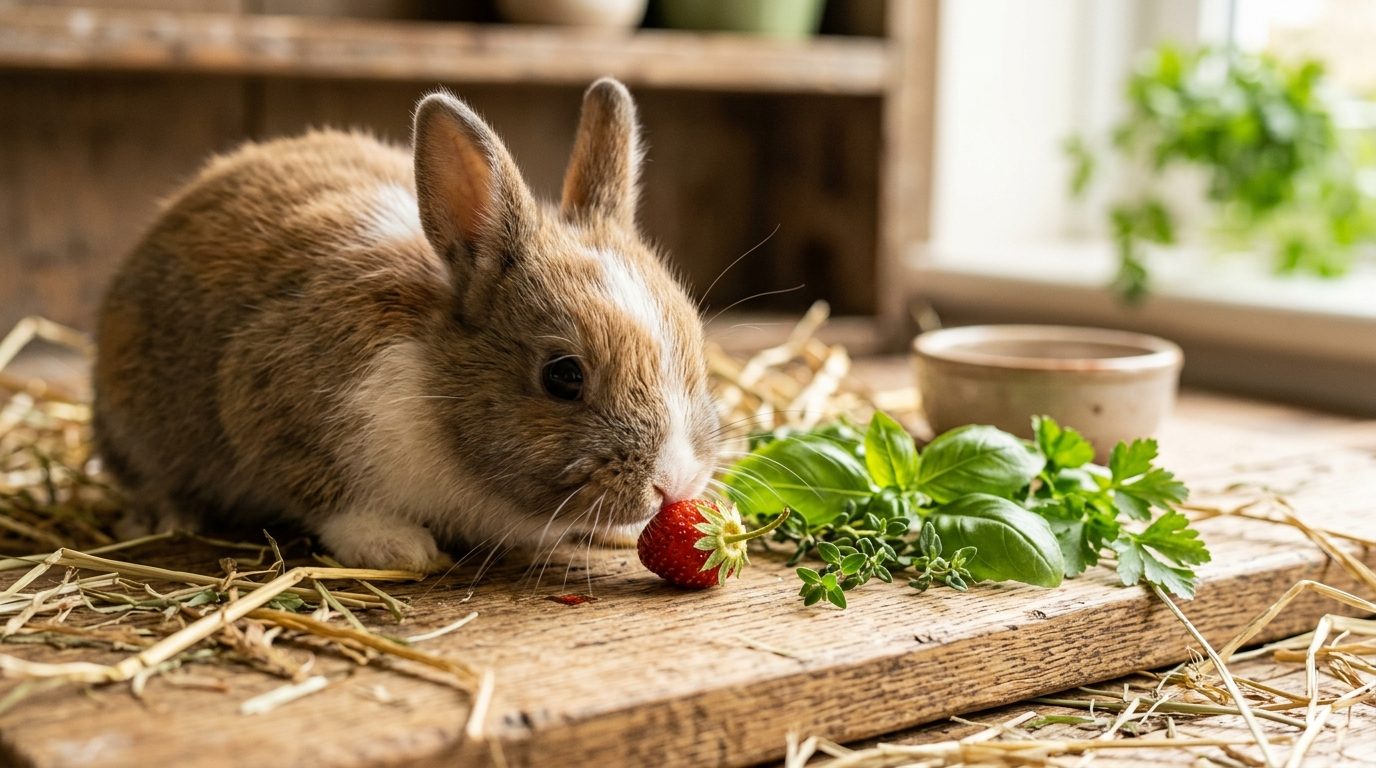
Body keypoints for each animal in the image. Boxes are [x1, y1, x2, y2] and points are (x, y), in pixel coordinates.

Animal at [92, 78, 721, 573]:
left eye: (696, 349)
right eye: (563, 376)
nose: (675, 483)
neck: (438, 386)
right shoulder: (268, 399)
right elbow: (330, 499)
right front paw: (397, 547)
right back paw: (165, 514)